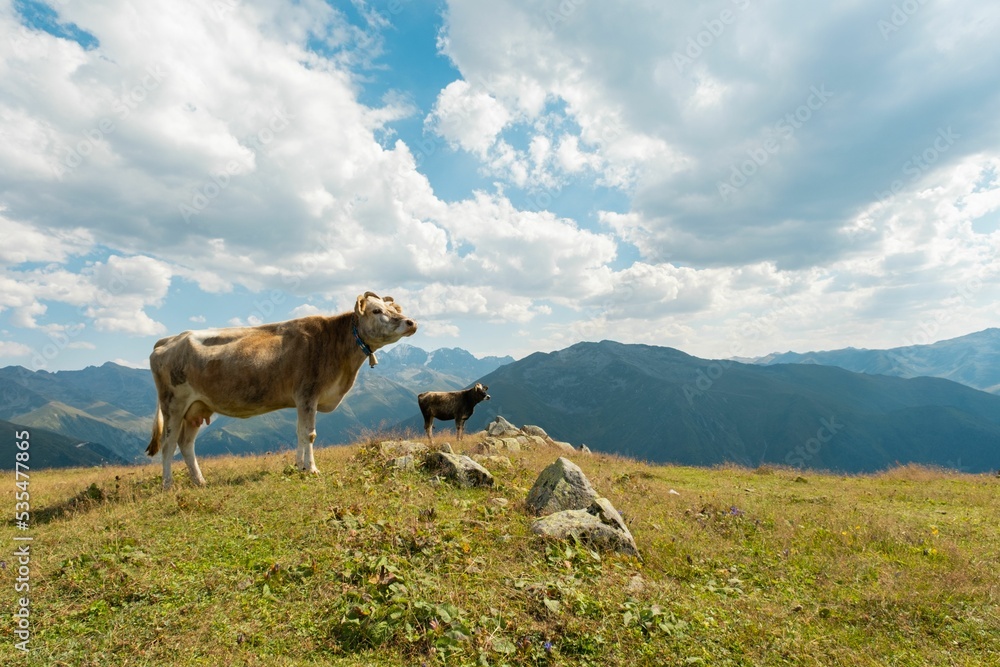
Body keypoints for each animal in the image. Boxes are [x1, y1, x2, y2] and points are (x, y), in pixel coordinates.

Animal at [146, 290, 416, 488]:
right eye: (377, 310)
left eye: (396, 310)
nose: (411, 322)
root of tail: (169, 339)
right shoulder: (307, 393)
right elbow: (309, 434)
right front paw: (312, 469)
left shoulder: (303, 399)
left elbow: (299, 433)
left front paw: (300, 467)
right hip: (173, 404)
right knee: (169, 443)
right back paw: (168, 485)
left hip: (196, 408)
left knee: (186, 444)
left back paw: (200, 481)